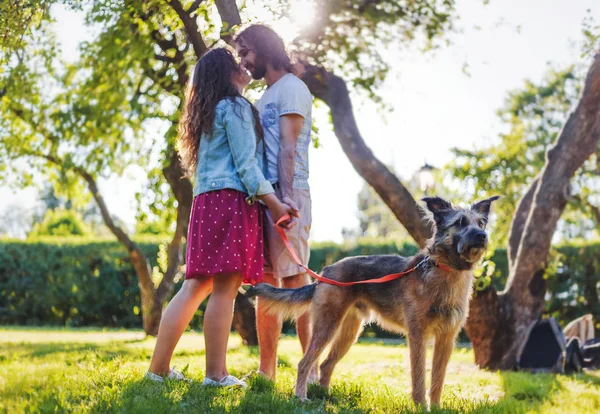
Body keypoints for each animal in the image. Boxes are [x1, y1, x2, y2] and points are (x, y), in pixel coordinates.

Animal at [246, 196, 500, 406]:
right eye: (460, 222)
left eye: (481, 223)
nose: (482, 236)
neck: (446, 270)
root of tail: (327, 271)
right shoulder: (417, 336)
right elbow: (419, 377)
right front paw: (421, 407)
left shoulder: (446, 339)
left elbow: (438, 379)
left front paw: (435, 408)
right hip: (326, 326)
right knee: (305, 363)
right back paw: (301, 397)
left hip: (349, 332)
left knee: (326, 364)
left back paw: (325, 396)